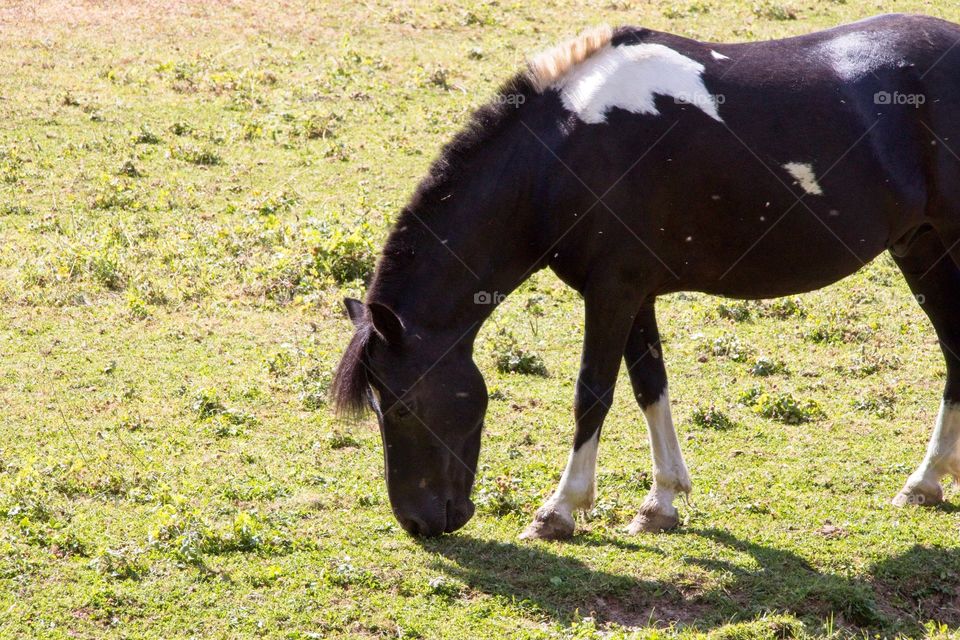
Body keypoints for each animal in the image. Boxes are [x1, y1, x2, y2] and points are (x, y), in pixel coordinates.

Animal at [333, 13, 960, 539]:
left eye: (402, 406)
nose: (418, 522)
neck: (564, 153)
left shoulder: (612, 291)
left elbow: (592, 393)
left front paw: (559, 511)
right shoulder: (635, 294)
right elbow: (648, 387)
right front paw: (661, 503)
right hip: (920, 248)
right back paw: (926, 483)